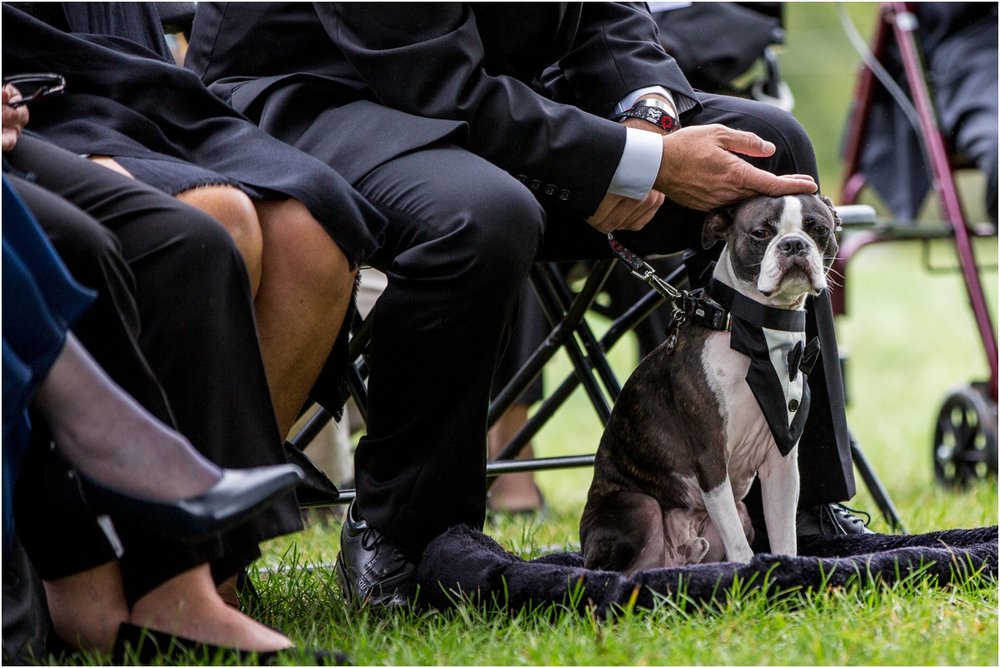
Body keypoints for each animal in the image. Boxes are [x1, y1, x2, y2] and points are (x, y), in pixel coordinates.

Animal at [584, 194, 840, 576]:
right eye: (760, 233)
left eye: (819, 229)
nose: (794, 244)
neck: (756, 328)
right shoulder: (711, 458)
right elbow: (739, 545)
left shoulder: (781, 463)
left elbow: (784, 535)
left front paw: (786, 569)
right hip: (640, 508)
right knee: (611, 571)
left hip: (744, 514)